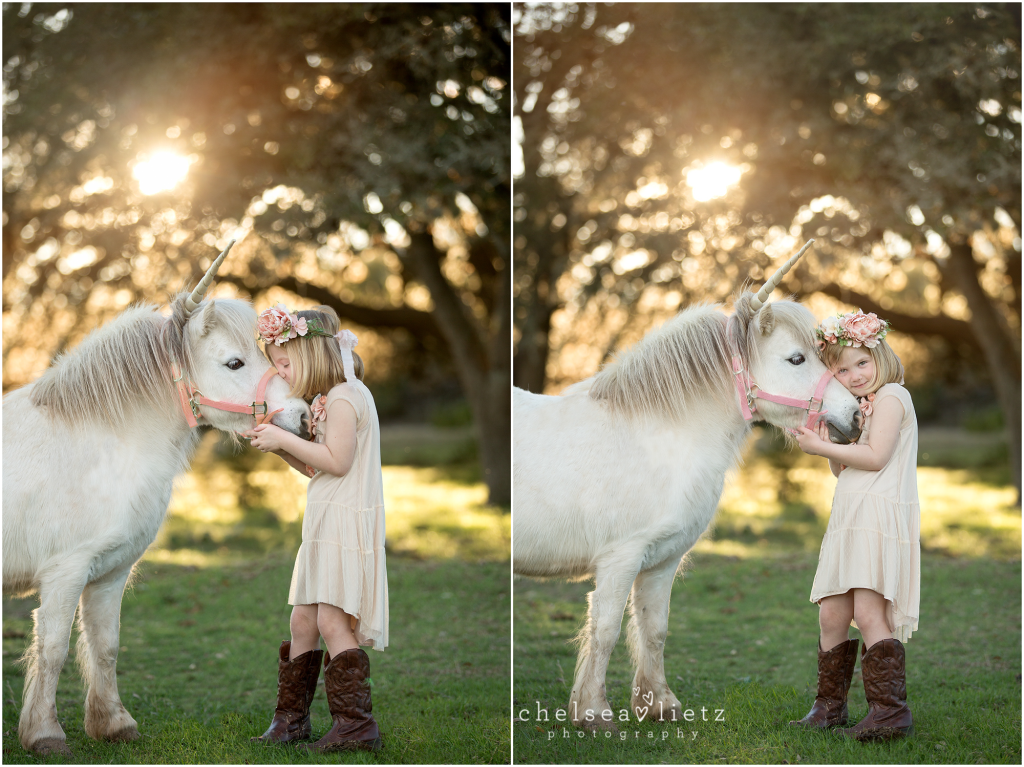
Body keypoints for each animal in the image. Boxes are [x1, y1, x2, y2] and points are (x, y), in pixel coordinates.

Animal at [2, 245, 309, 753]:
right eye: (234, 363)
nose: (304, 417)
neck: (102, 442)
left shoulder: (110, 571)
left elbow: (105, 646)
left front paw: (113, 724)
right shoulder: (65, 571)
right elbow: (53, 648)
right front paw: (44, 734)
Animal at [512, 243, 864, 725]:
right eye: (796, 358)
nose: (856, 417)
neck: (655, 437)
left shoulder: (662, 559)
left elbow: (654, 629)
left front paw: (659, 704)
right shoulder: (620, 558)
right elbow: (605, 630)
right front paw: (594, 713)